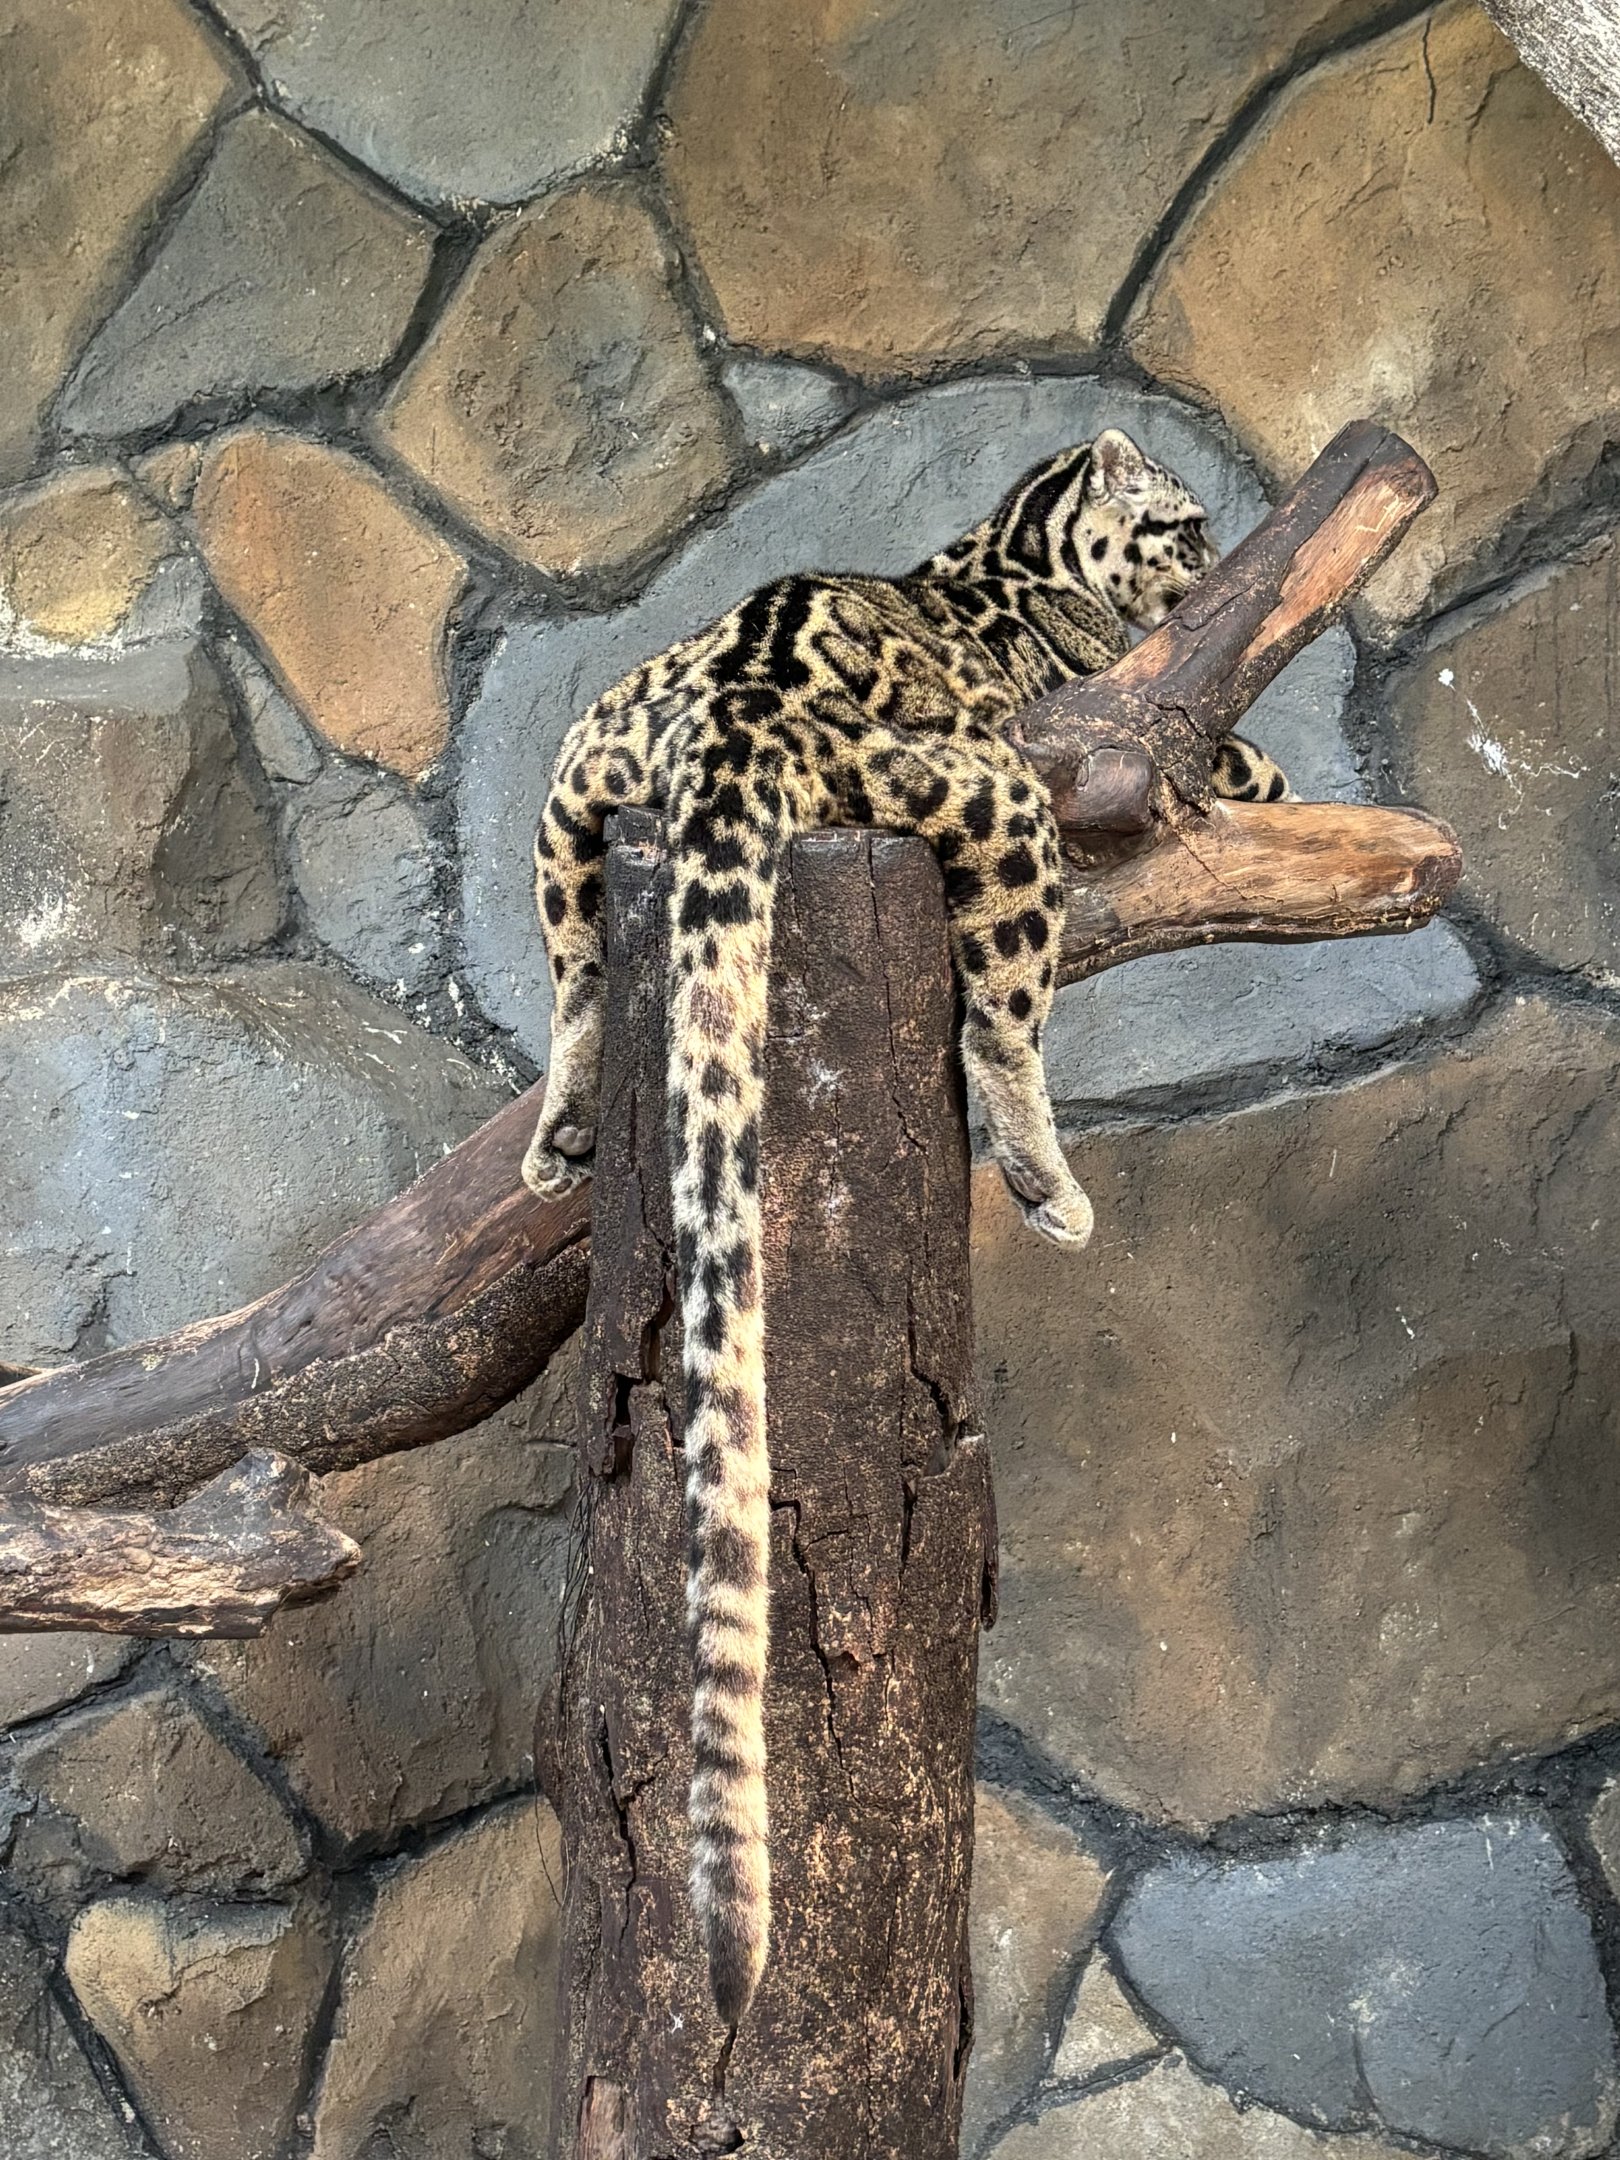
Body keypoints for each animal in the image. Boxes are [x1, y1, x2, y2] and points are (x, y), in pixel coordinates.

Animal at [519, 429, 1290, 2025]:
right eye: (1182, 523)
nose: (1210, 557)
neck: (1011, 546)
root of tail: (732, 694)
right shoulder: (1115, 709)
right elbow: (1220, 748)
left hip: (576, 782)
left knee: (570, 964)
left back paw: (559, 1136)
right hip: (990, 800)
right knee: (1003, 1011)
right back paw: (1050, 1187)